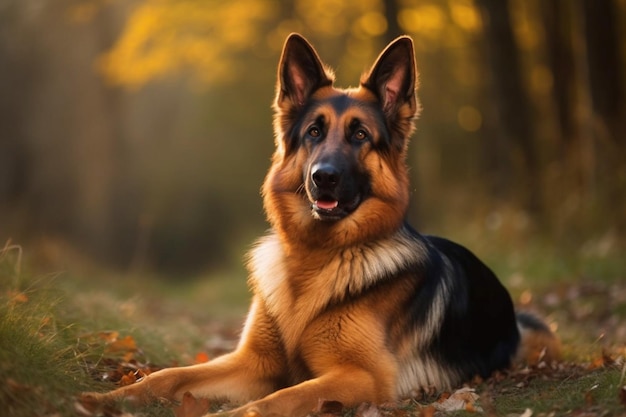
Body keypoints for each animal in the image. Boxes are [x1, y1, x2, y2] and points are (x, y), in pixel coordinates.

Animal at [86, 33, 556, 416]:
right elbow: (169, 375)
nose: (323, 177)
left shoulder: (361, 376)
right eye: (314, 131)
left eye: (360, 135)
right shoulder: (251, 363)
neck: (314, 259)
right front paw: (106, 397)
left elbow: (279, 398)